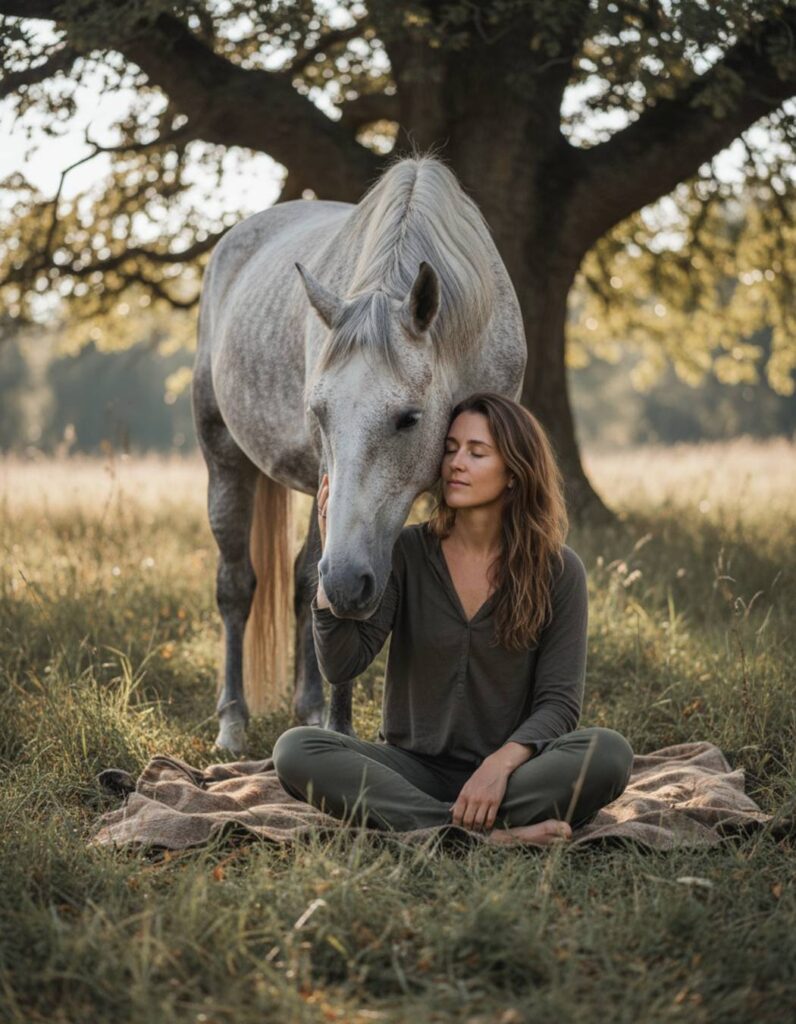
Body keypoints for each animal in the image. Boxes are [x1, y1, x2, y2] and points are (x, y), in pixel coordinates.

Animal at [192, 154, 527, 753]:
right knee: (238, 587)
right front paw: (341, 733)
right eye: (319, 413)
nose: (349, 581)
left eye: (409, 418)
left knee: (306, 579)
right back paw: (232, 724)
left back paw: (307, 707)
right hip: (226, 462)